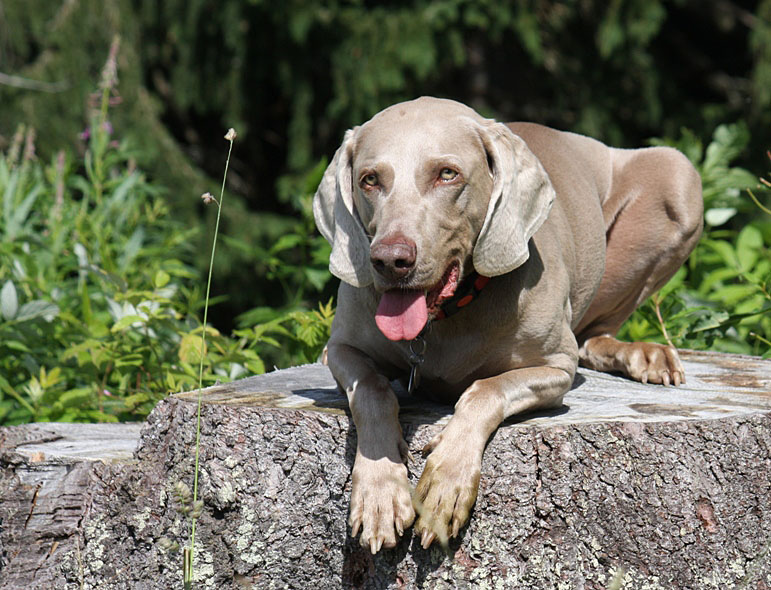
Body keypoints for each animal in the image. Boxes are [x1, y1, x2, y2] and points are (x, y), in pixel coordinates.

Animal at [310, 97, 704, 556]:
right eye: (370, 180)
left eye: (448, 174)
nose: (390, 260)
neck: (446, 318)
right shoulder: (344, 349)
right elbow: (372, 390)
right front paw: (380, 491)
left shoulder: (556, 368)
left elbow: (486, 388)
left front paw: (445, 483)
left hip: (677, 173)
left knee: (593, 336)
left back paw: (644, 355)